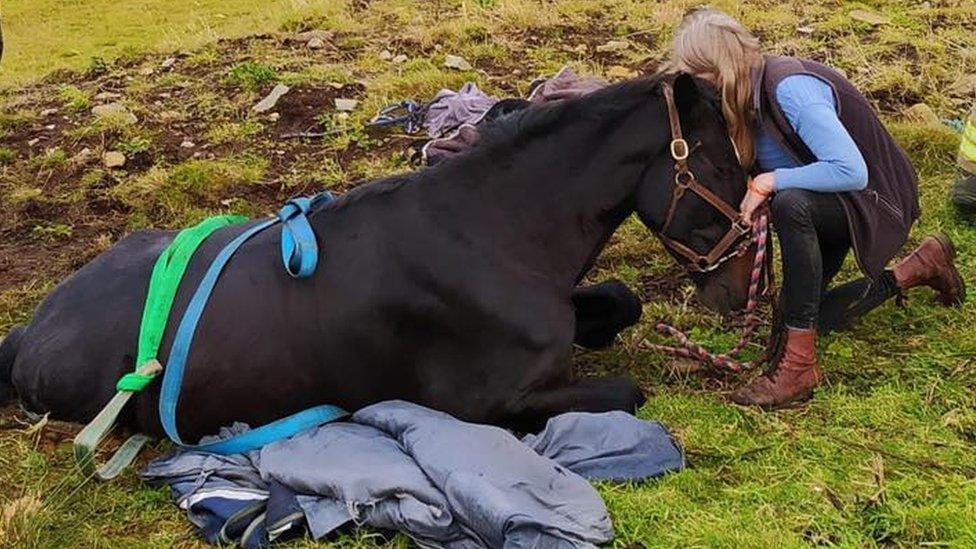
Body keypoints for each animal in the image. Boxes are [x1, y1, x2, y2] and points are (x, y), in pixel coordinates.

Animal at [0, 74, 752, 440]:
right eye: (719, 163)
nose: (740, 288)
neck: (492, 232)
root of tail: (30, 334)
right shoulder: (481, 403)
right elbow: (628, 392)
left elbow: (622, 300)